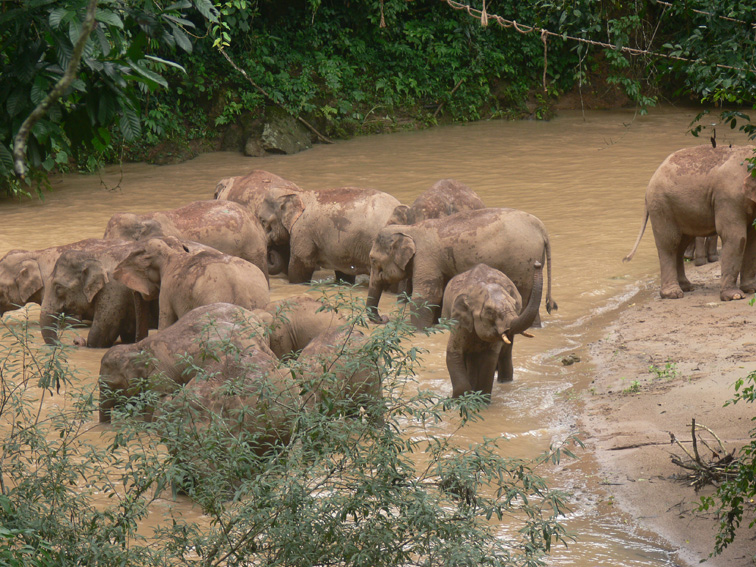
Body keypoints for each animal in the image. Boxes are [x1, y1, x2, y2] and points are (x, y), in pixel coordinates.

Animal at [258, 186, 402, 284]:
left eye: (262, 221)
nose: (271, 250)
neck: (298, 193)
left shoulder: (303, 231)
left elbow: (301, 264)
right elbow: (344, 273)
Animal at [366, 208, 557, 330]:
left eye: (373, 259)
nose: (384, 319)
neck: (409, 229)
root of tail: (542, 228)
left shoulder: (426, 258)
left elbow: (427, 295)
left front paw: (418, 330)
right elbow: (440, 294)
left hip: (522, 262)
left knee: (524, 295)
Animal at [441, 262, 543, 398]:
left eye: (515, 305)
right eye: (490, 311)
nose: (537, 264)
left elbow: (489, 360)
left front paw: (480, 399)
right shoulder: (458, 322)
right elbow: (453, 353)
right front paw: (461, 399)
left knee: (505, 353)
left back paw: (505, 381)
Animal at [624, 145, 756, 301]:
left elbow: (752, 238)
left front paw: (751, 289)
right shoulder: (728, 197)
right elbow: (736, 236)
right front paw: (735, 296)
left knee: (680, 245)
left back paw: (686, 287)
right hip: (661, 206)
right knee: (669, 243)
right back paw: (673, 294)